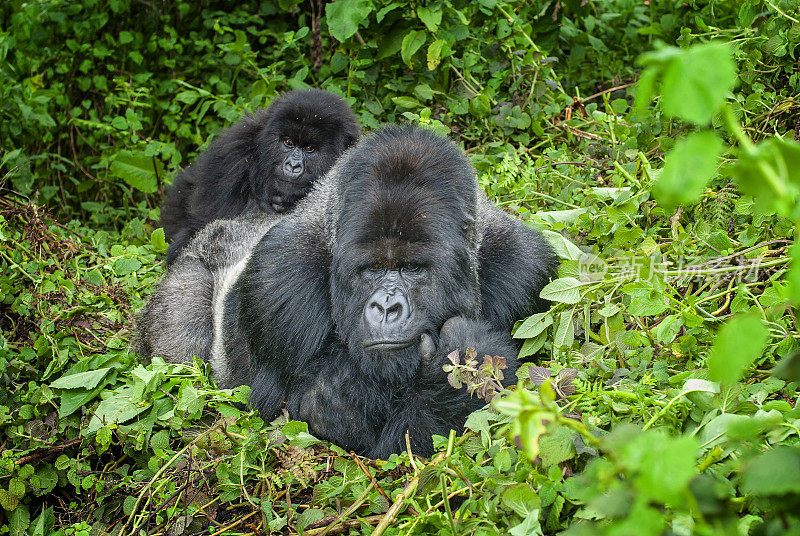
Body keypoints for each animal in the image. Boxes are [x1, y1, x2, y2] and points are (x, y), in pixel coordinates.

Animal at [138, 124, 560, 456]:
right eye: (372, 268)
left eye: (411, 268)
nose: (387, 308)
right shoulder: (277, 278)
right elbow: (309, 413)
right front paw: (465, 354)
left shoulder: (525, 272)